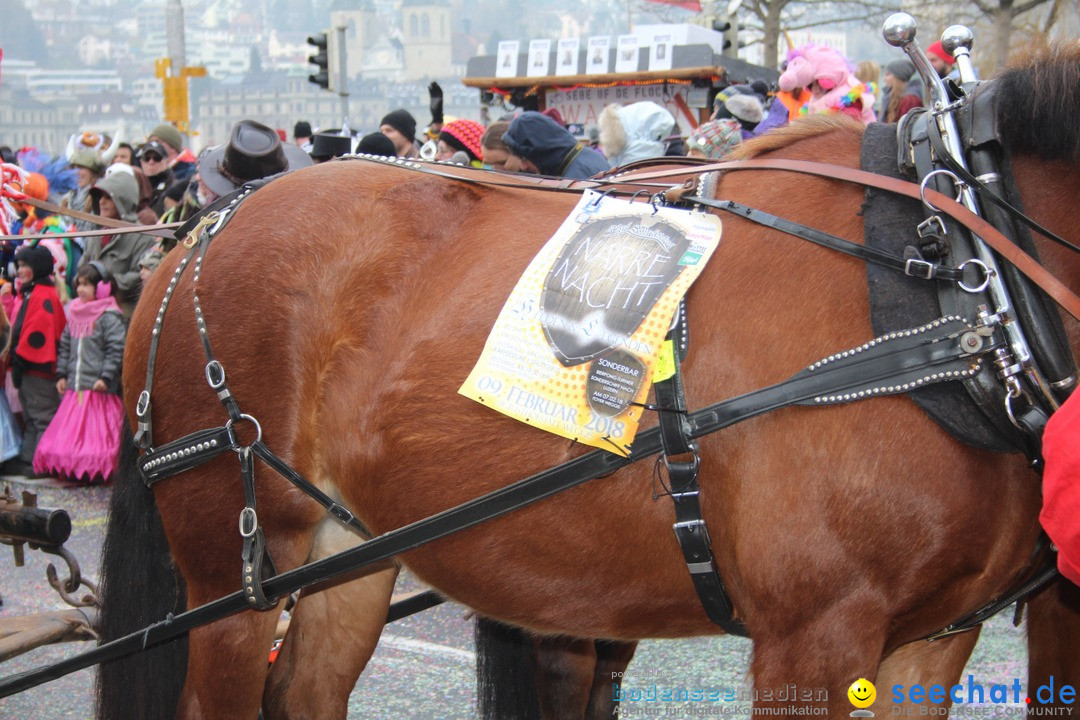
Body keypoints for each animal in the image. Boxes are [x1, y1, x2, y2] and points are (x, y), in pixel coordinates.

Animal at [97, 47, 1075, 716]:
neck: (951, 274)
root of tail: (200, 229)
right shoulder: (816, 636)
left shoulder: (936, 640)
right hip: (236, 569)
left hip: (351, 551)